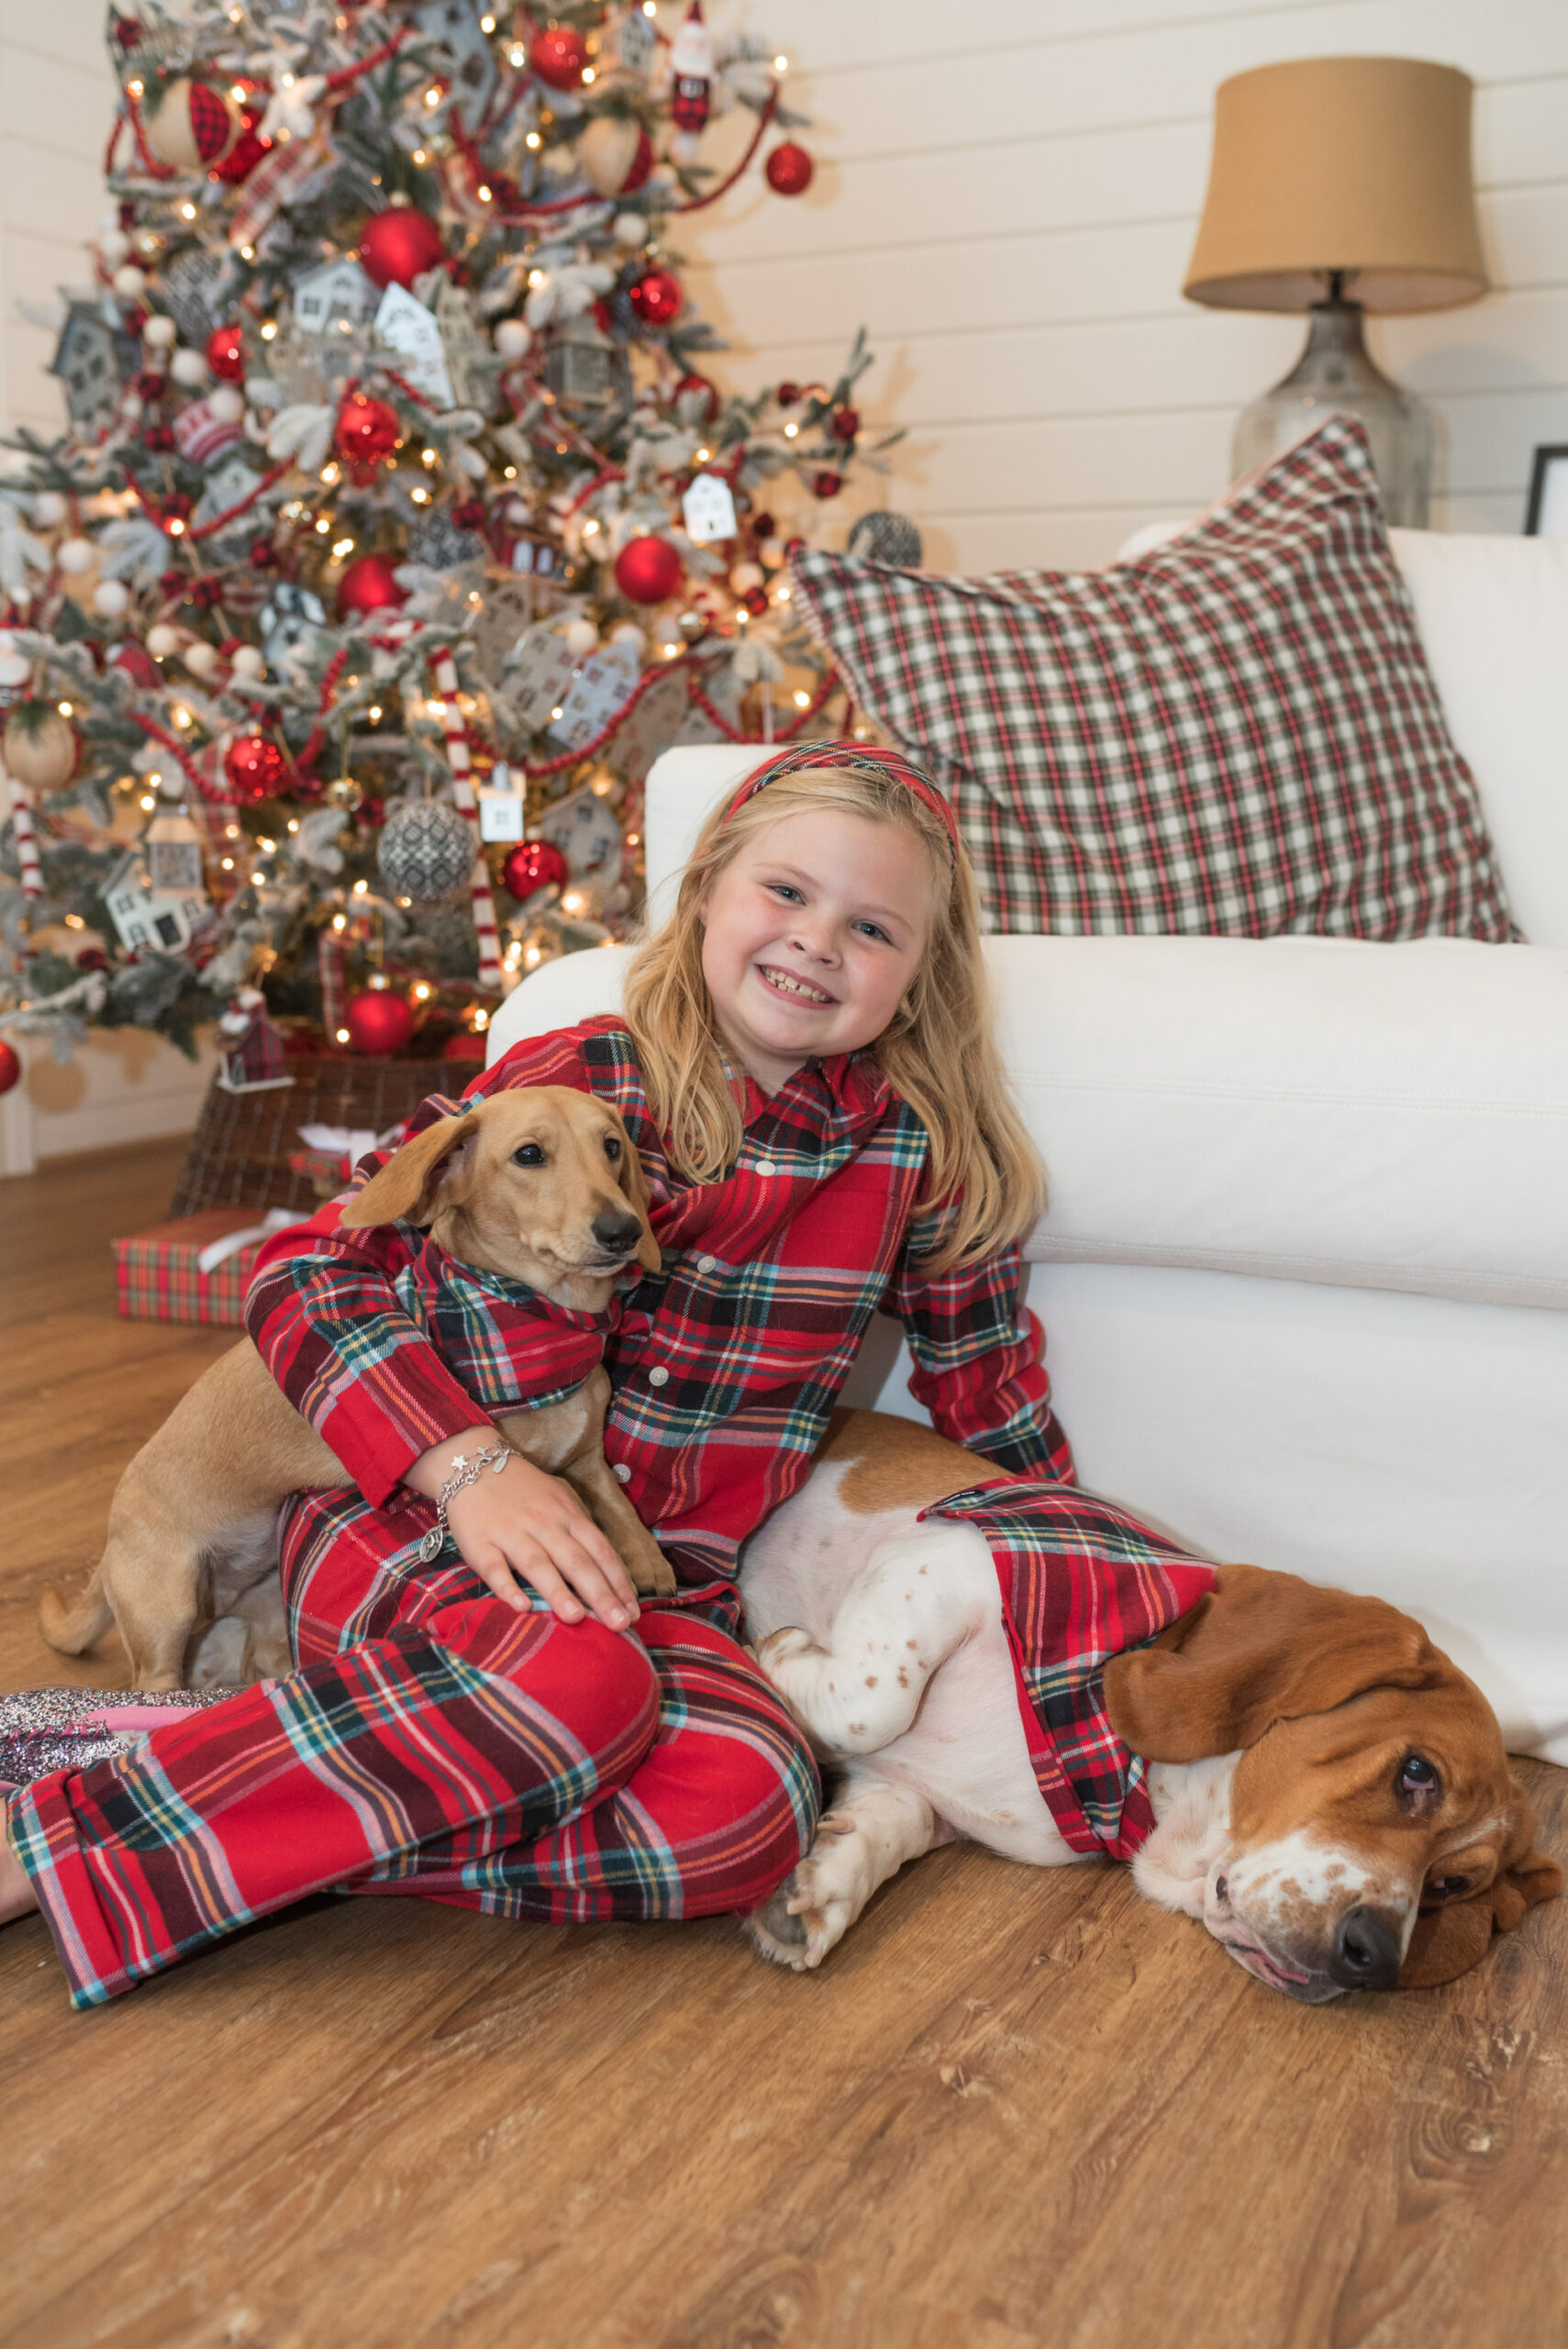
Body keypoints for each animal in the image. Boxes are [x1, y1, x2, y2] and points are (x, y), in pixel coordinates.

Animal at [41, 1085, 675, 1691]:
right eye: (529, 1155)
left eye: (611, 1146)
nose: (624, 1231)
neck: (542, 1330)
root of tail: (108, 1548)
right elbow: (563, 1497)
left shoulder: (588, 1459)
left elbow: (617, 1503)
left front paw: (646, 1559)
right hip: (167, 1602)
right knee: (153, 1678)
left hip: (265, 1605)